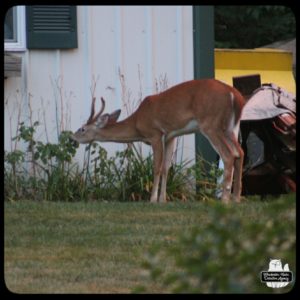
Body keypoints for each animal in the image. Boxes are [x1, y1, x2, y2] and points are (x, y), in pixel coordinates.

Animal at [73, 78, 246, 203]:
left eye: (82, 129)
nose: (72, 137)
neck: (137, 122)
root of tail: (235, 95)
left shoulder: (155, 134)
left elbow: (156, 167)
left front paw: (152, 199)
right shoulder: (171, 136)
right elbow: (166, 167)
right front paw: (163, 199)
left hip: (210, 124)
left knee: (228, 155)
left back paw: (225, 199)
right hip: (231, 127)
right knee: (240, 152)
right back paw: (236, 198)